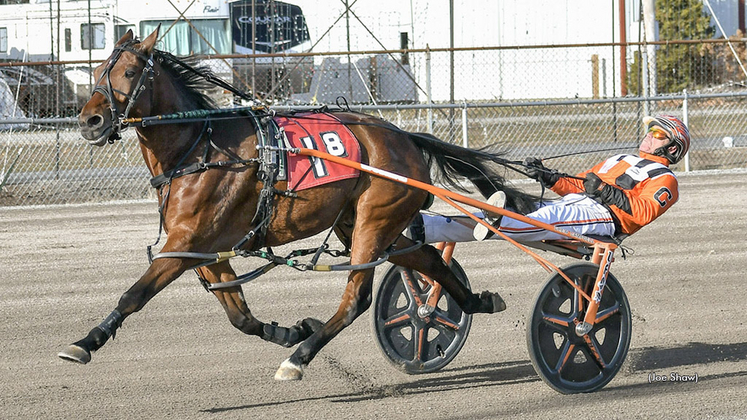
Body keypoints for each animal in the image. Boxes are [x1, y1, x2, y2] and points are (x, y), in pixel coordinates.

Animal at [58, 27, 536, 380]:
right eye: (98, 69)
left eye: (129, 72)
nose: (90, 120)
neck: (199, 149)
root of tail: (405, 137)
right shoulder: (206, 249)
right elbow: (240, 316)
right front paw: (288, 330)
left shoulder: (184, 243)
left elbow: (134, 294)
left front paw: (83, 343)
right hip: (364, 223)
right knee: (429, 260)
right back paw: (473, 302)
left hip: (373, 221)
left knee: (358, 297)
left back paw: (300, 358)